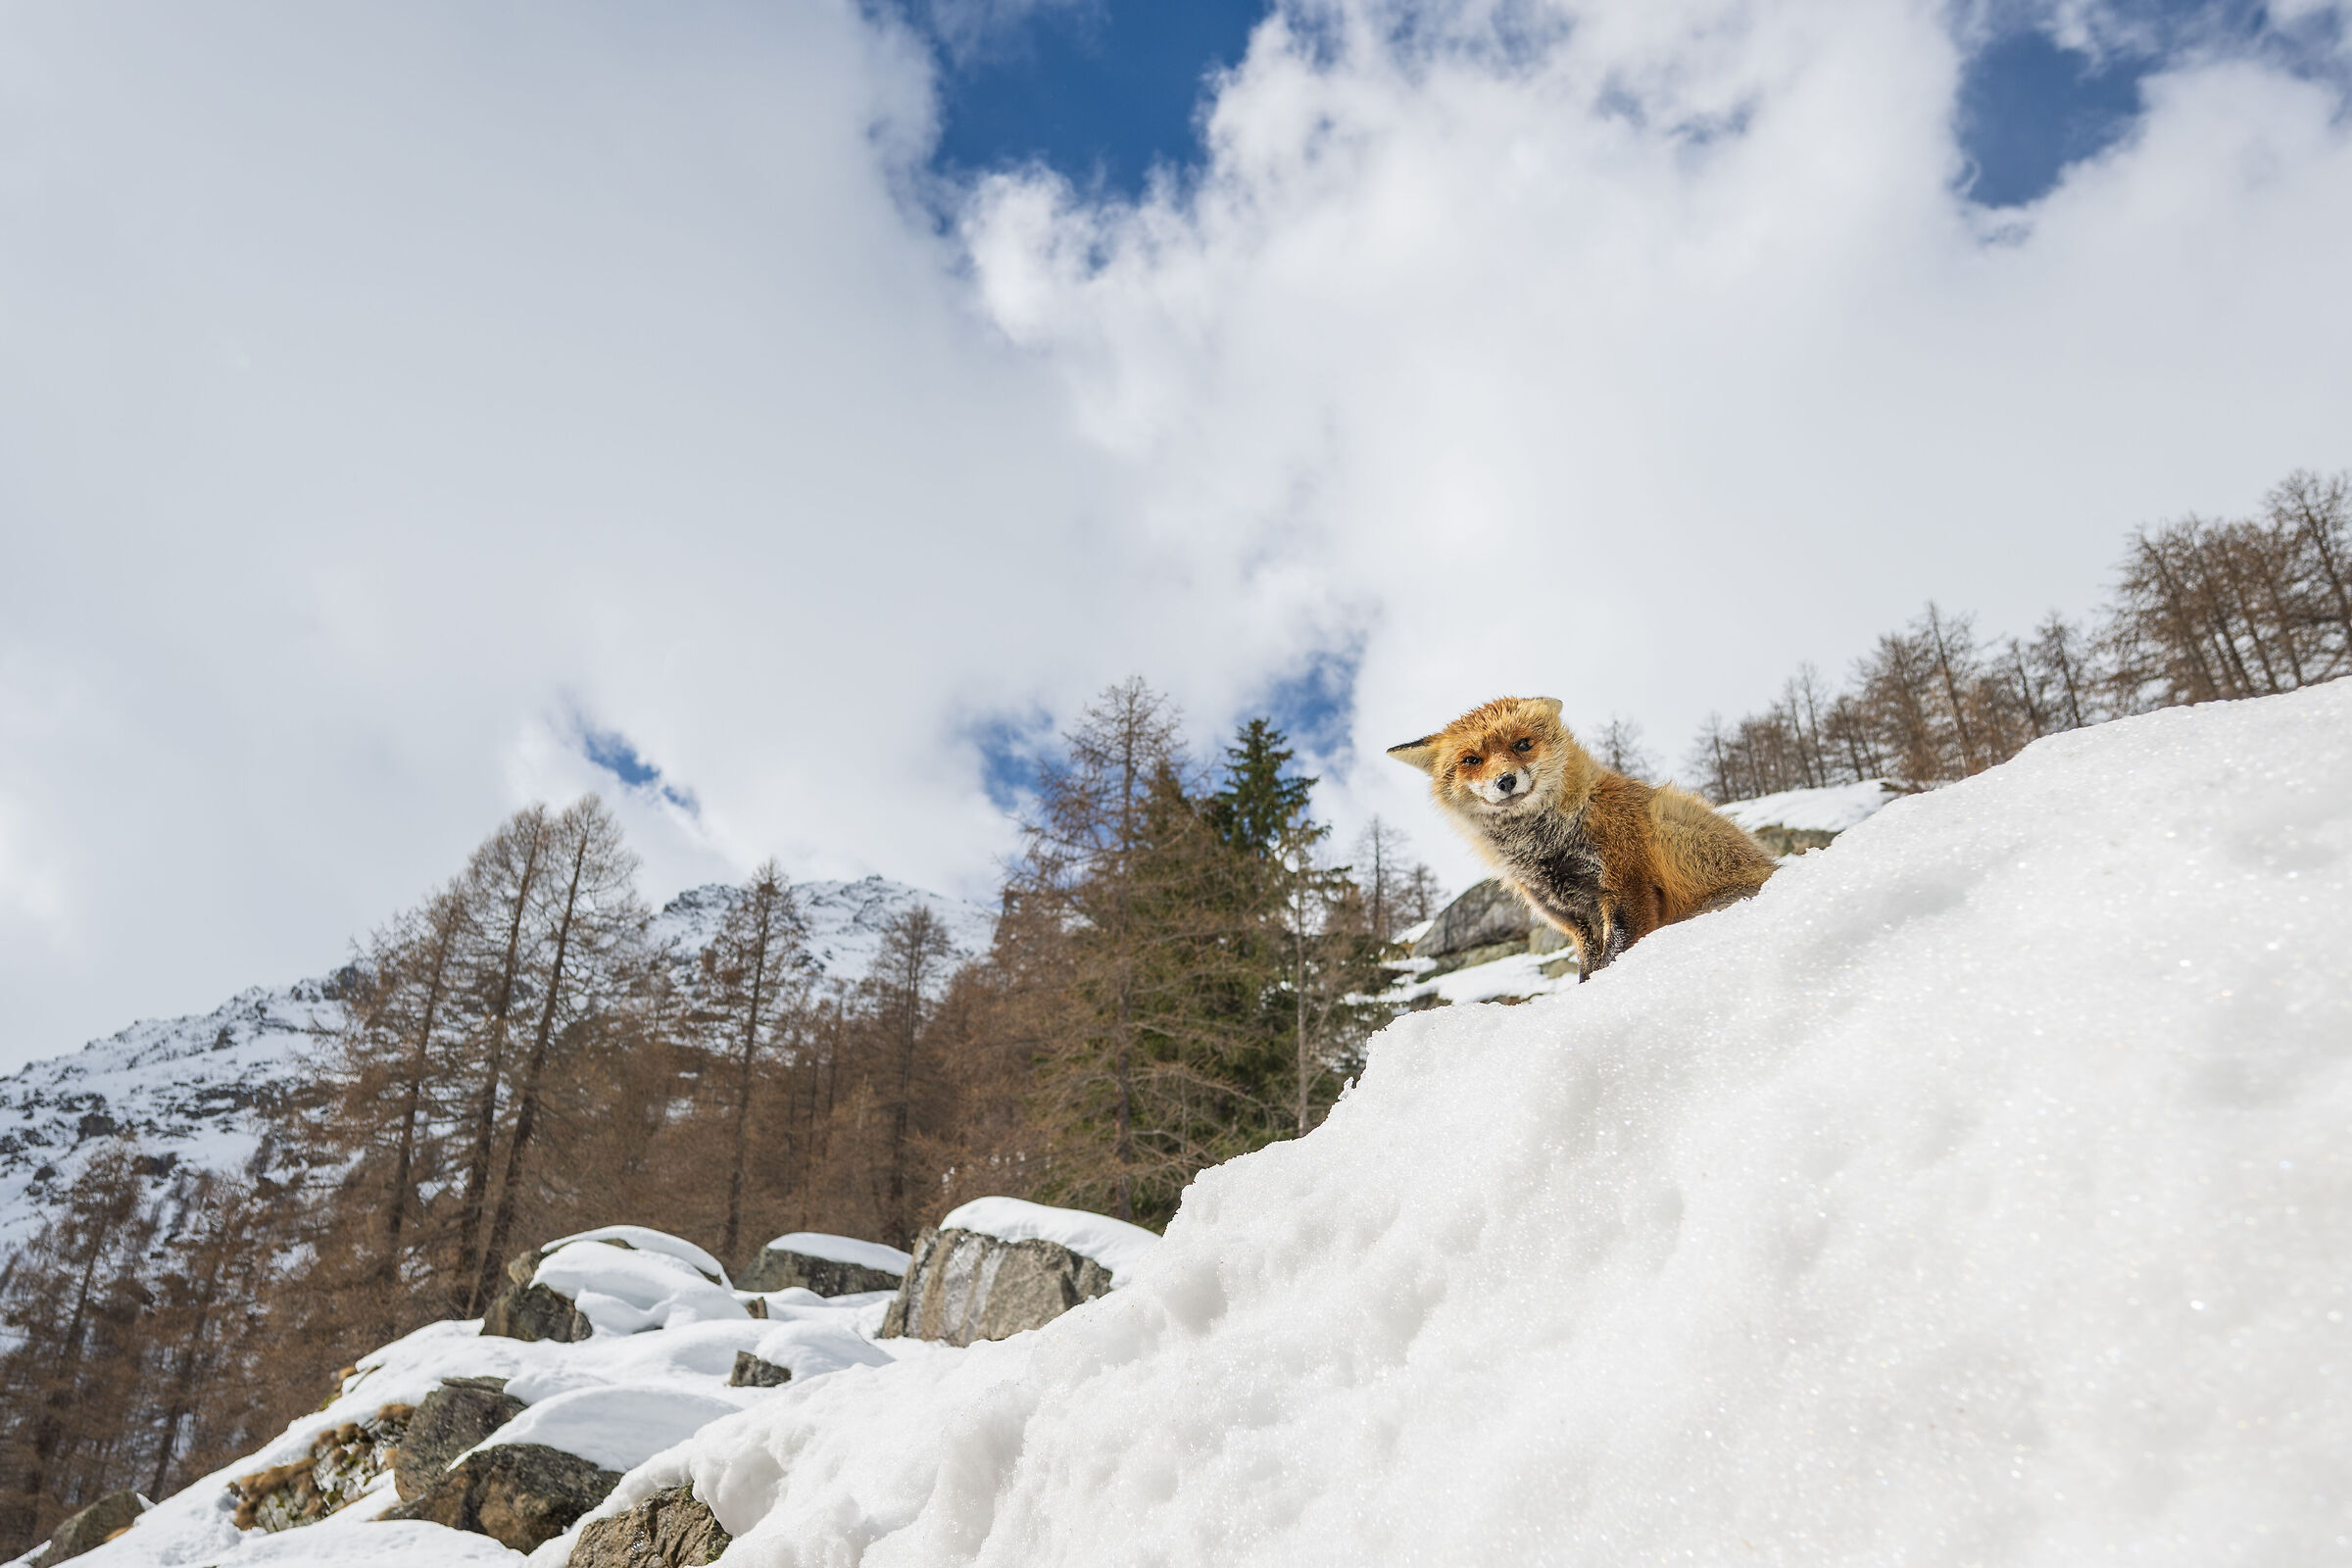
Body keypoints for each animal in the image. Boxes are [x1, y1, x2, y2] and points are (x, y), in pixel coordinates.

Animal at [1388, 696, 1776, 980]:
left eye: (1522, 744)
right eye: (1471, 760)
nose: (1505, 781)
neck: (1547, 848)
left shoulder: (1627, 887)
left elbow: (1614, 955)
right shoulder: (1571, 916)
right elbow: (1587, 969)